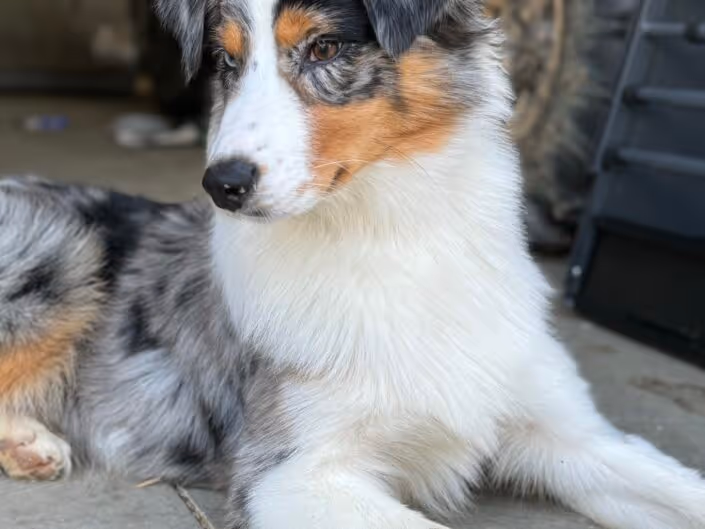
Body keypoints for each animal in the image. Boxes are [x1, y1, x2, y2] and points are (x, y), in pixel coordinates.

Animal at [1, 1, 704, 528]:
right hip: (62, 248)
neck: (390, 237)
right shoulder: (289, 475)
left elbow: (679, 488)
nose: (222, 184)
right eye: (226, 60)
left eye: (325, 49)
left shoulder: (573, 432)